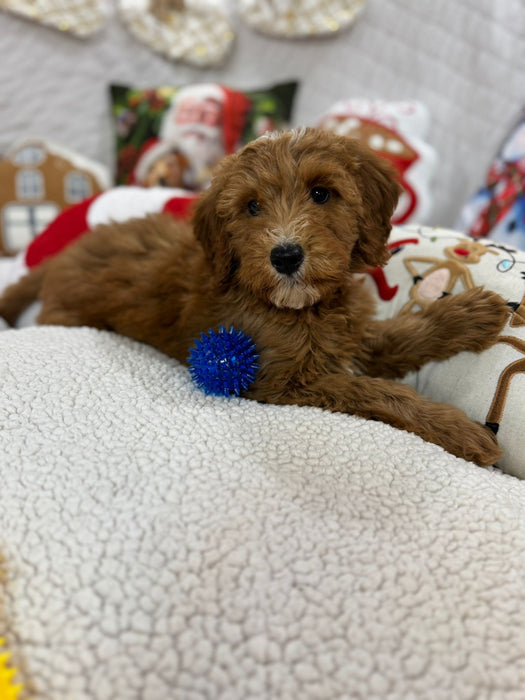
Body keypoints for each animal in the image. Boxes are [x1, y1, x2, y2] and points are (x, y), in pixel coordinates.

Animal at [0, 129, 508, 468]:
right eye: (251, 207)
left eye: (321, 193)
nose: (285, 255)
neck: (303, 307)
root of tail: (61, 256)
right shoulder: (286, 383)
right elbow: (375, 390)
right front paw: (459, 429)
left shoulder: (352, 334)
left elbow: (403, 336)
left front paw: (472, 313)